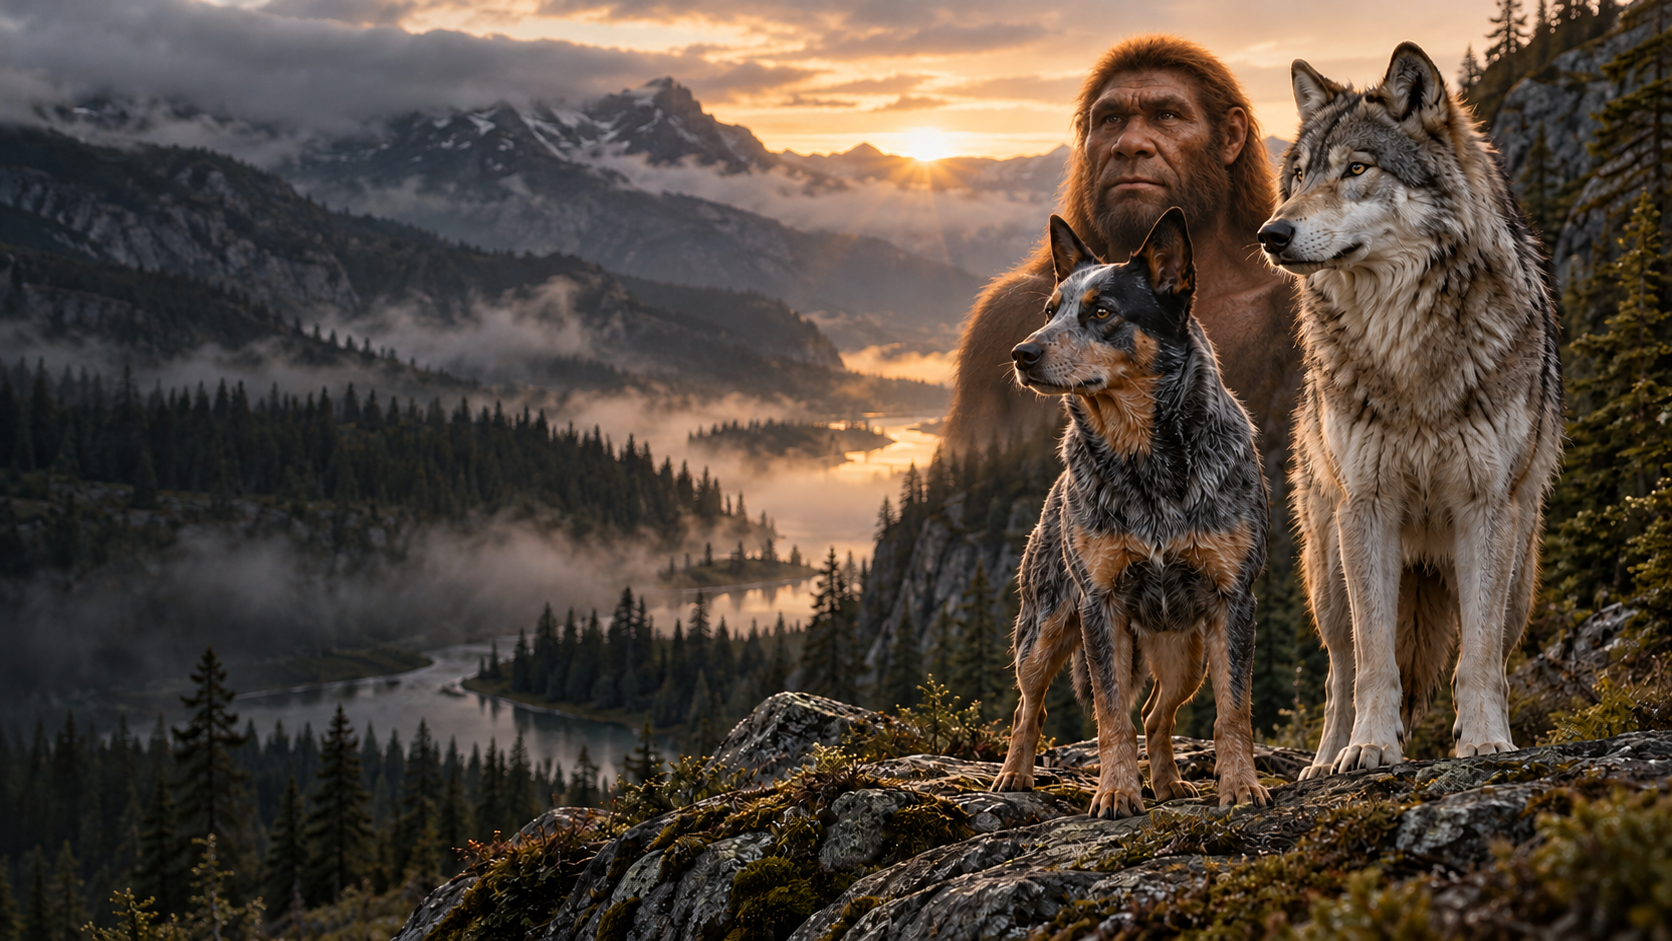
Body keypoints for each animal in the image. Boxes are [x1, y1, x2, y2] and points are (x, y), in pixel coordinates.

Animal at [992, 208, 1272, 818]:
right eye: (1050, 311)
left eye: (1102, 311)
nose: (1022, 353)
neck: (1145, 462)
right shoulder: (1101, 605)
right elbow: (1110, 715)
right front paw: (1117, 791)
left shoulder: (1233, 602)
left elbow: (1233, 712)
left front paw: (1241, 786)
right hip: (1042, 629)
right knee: (1030, 706)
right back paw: (1013, 775)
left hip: (1186, 654)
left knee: (1157, 715)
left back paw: (1168, 784)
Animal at [1257, 43, 1563, 777]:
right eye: (1300, 175)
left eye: (1357, 169)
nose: (1270, 233)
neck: (1406, 346)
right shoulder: (1368, 506)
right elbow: (1374, 662)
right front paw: (1369, 746)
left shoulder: (1486, 507)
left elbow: (1479, 659)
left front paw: (1486, 742)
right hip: (1328, 574)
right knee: (1340, 671)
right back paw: (1325, 759)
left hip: (1521, 577)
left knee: (1495, 647)